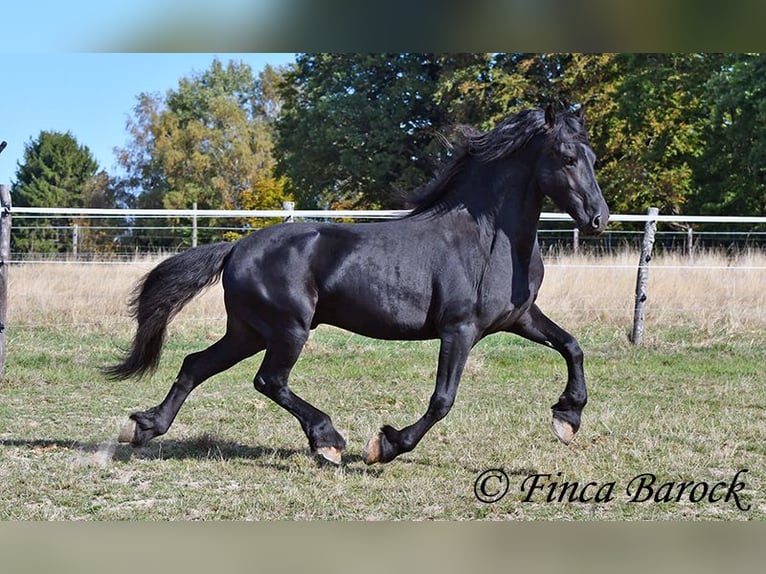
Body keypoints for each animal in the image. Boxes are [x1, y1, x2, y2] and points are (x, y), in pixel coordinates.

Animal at [107, 105, 609, 465]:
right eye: (567, 157)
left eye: (593, 158)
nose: (598, 219)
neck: (487, 240)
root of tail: (237, 248)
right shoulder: (459, 330)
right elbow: (442, 400)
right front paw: (385, 445)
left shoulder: (519, 318)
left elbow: (572, 346)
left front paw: (567, 418)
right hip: (288, 329)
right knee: (269, 380)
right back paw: (327, 441)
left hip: (249, 331)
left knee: (196, 364)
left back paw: (145, 427)